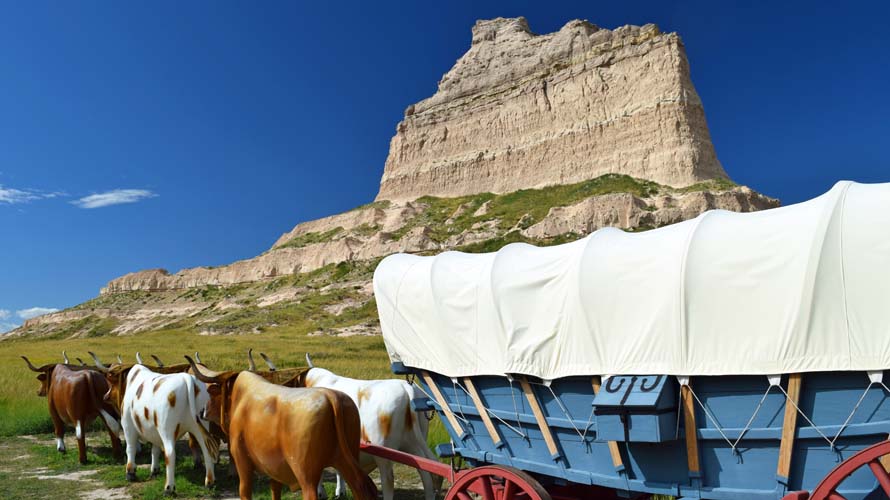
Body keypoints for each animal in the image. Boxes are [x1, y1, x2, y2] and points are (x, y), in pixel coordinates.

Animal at [98, 362, 219, 495]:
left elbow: (130, 449)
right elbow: (155, 450)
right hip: (201, 427)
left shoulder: (128, 425)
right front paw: (154, 470)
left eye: (111, 381)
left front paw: (130, 473)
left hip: (167, 430)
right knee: (207, 450)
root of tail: (187, 378)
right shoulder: (154, 431)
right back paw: (209, 482)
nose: (105, 396)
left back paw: (168, 488)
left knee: (170, 454)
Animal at [185, 356, 377, 500]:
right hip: (346, 460)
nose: (202, 412)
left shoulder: (241, 460)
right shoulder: (273, 466)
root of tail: (331, 397)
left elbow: (245, 491)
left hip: (306, 474)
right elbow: (275, 489)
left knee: (311, 494)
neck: (242, 398)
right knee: (360, 488)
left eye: (212, 393)